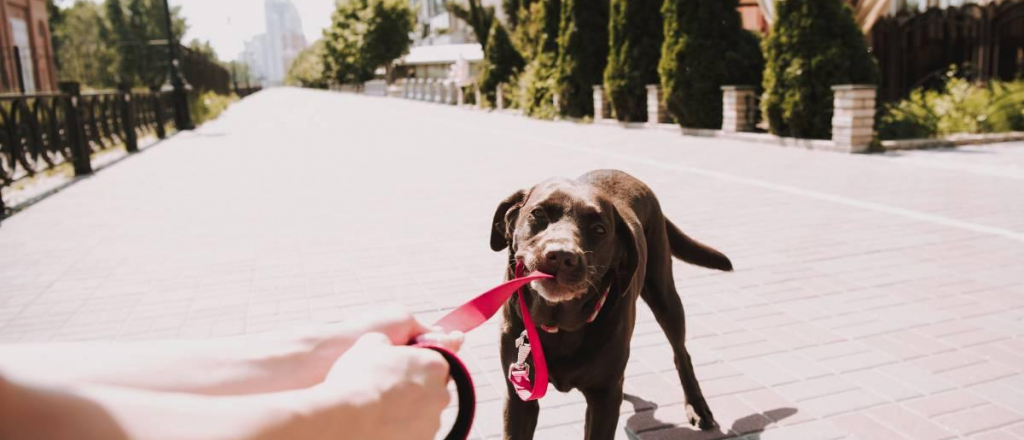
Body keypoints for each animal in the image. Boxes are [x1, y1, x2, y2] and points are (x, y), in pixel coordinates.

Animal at [489, 168, 737, 440]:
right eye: (539, 213)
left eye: (599, 229)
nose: (562, 256)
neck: (559, 325)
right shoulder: (519, 398)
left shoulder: (604, 399)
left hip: (665, 298)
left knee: (681, 353)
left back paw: (697, 405)